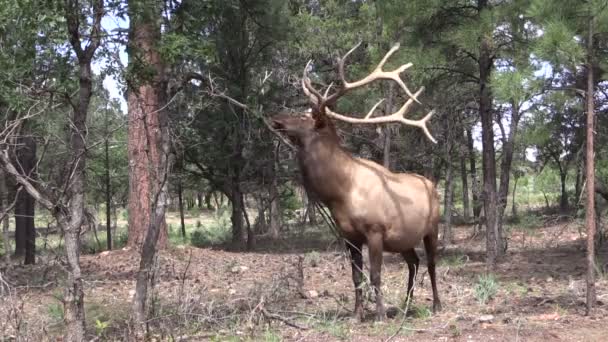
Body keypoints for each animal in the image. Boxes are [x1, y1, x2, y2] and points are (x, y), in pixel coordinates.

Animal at [272, 42, 442, 320]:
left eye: (305, 118)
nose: (276, 118)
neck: (339, 193)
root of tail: (432, 186)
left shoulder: (375, 230)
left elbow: (375, 275)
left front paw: (380, 315)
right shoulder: (349, 236)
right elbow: (356, 277)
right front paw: (357, 313)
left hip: (431, 228)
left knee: (431, 263)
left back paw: (436, 304)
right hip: (403, 238)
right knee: (414, 262)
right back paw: (406, 306)